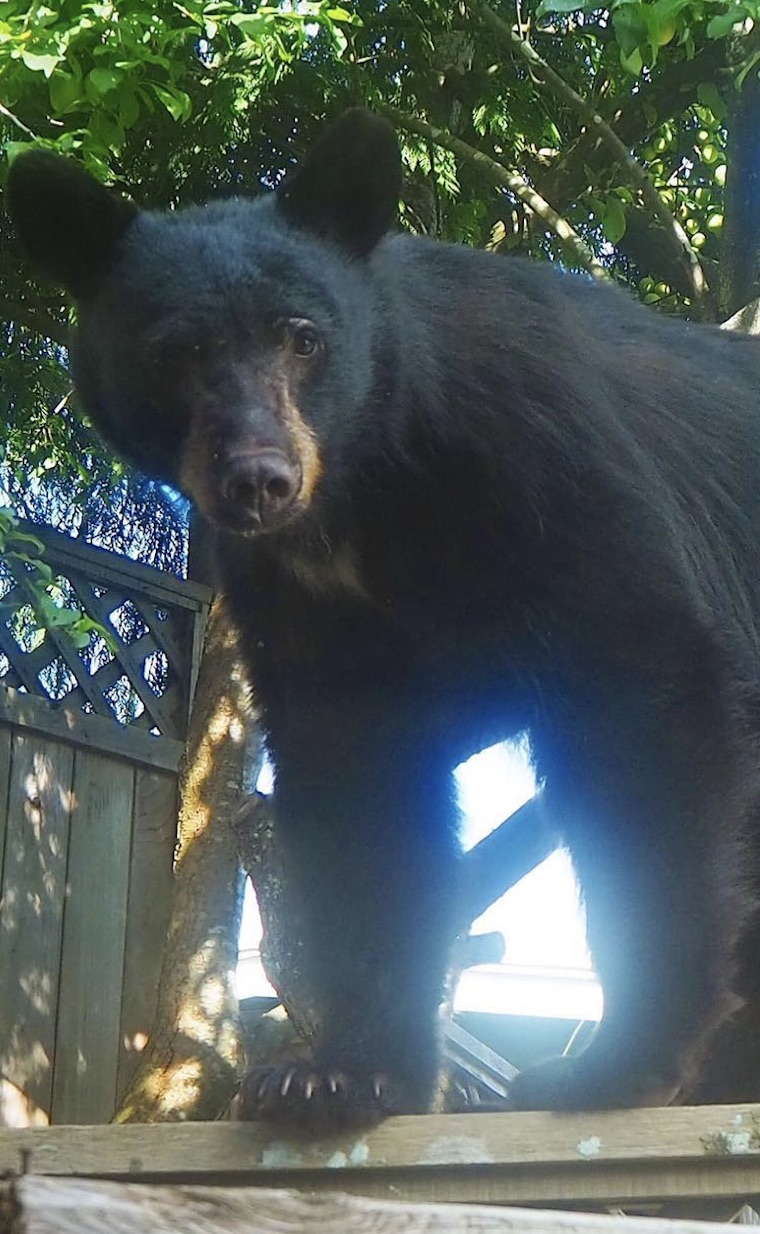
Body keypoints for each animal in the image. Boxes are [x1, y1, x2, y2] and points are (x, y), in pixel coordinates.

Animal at [8, 108, 760, 1130]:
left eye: (302, 337)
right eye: (174, 354)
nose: (259, 479)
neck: (365, 490)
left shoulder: (544, 458)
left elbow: (640, 683)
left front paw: (617, 1064)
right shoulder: (297, 599)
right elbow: (361, 785)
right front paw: (335, 1074)